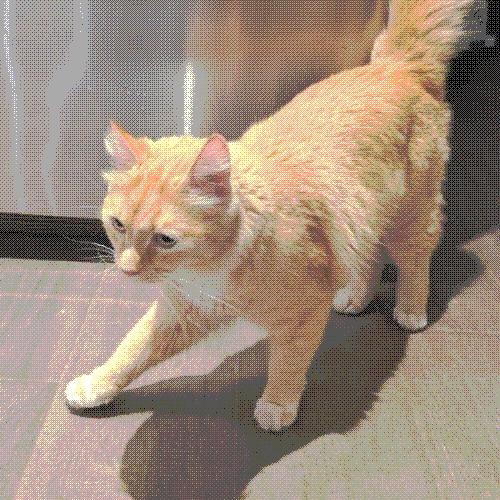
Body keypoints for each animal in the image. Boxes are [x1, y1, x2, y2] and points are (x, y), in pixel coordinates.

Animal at [66, 0, 482, 432]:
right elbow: (130, 351)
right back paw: (356, 297)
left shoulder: (302, 315)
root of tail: (396, 66)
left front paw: (277, 405)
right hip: (363, 220)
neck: (214, 266)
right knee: (368, 258)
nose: (127, 270)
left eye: (166, 239)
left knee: (415, 262)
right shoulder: (180, 311)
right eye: (118, 225)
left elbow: (287, 366)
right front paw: (96, 385)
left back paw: (411, 311)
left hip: (410, 217)